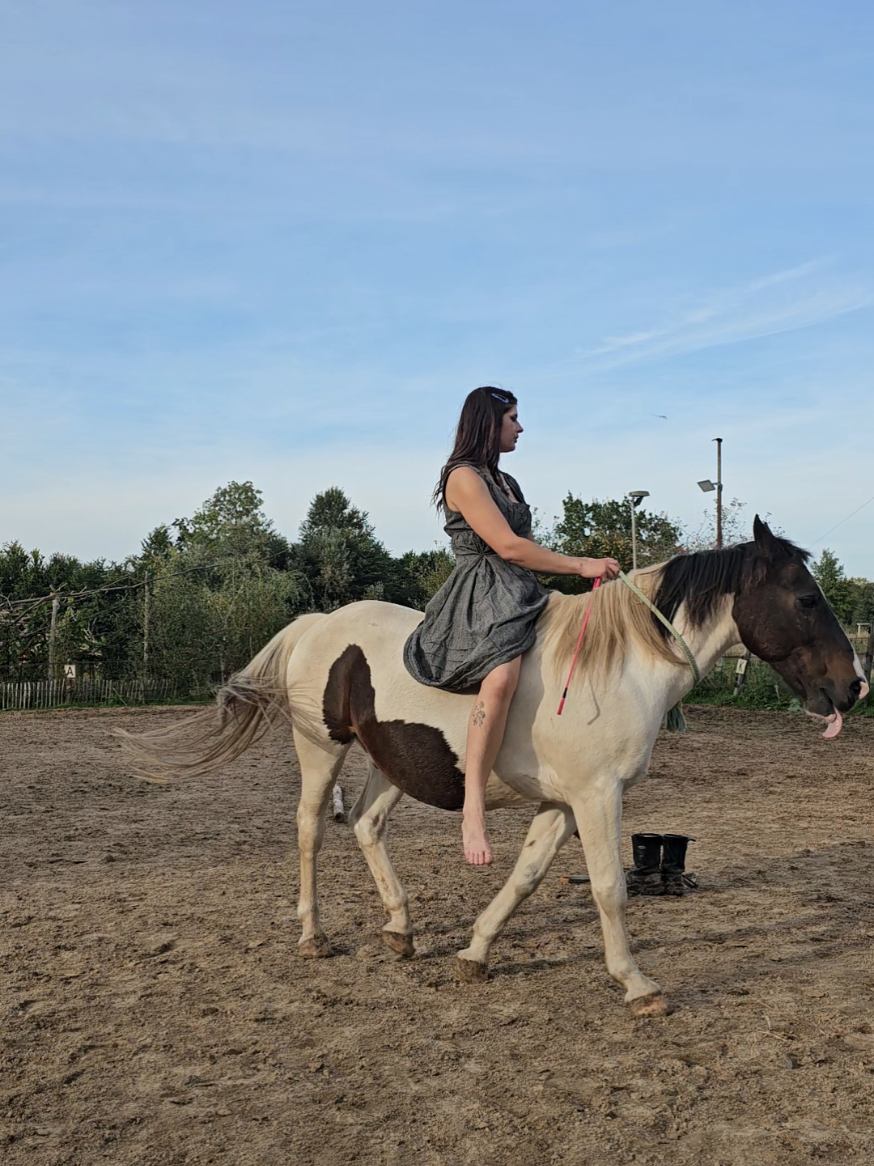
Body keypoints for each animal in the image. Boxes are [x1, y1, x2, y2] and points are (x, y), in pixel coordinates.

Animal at [119, 518, 868, 1017]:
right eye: (805, 598)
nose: (854, 686)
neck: (620, 665)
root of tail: (319, 622)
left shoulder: (562, 804)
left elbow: (527, 878)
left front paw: (475, 953)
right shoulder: (596, 798)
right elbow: (608, 890)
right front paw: (636, 983)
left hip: (391, 763)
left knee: (363, 826)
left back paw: (400, 928)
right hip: (322, 749)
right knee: (310, 829)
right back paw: (313, 935)